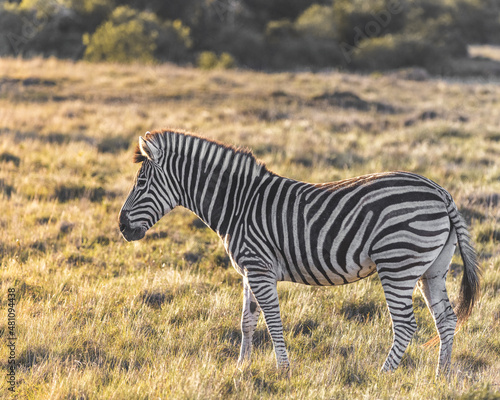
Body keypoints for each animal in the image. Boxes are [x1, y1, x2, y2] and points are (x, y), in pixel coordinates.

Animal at [118, 128, 480, 376]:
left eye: (140, 184)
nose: (122, 227)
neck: (238, 205)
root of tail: (440, 191)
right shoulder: (249, 270)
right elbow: (247, 321)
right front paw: (241, 368)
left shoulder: (260, 269)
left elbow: (273, 321)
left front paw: (283, 370)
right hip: (432, 269)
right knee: (446, 319)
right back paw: (442, 377)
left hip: (398, 263)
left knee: (405, 325)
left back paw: (383, 376)